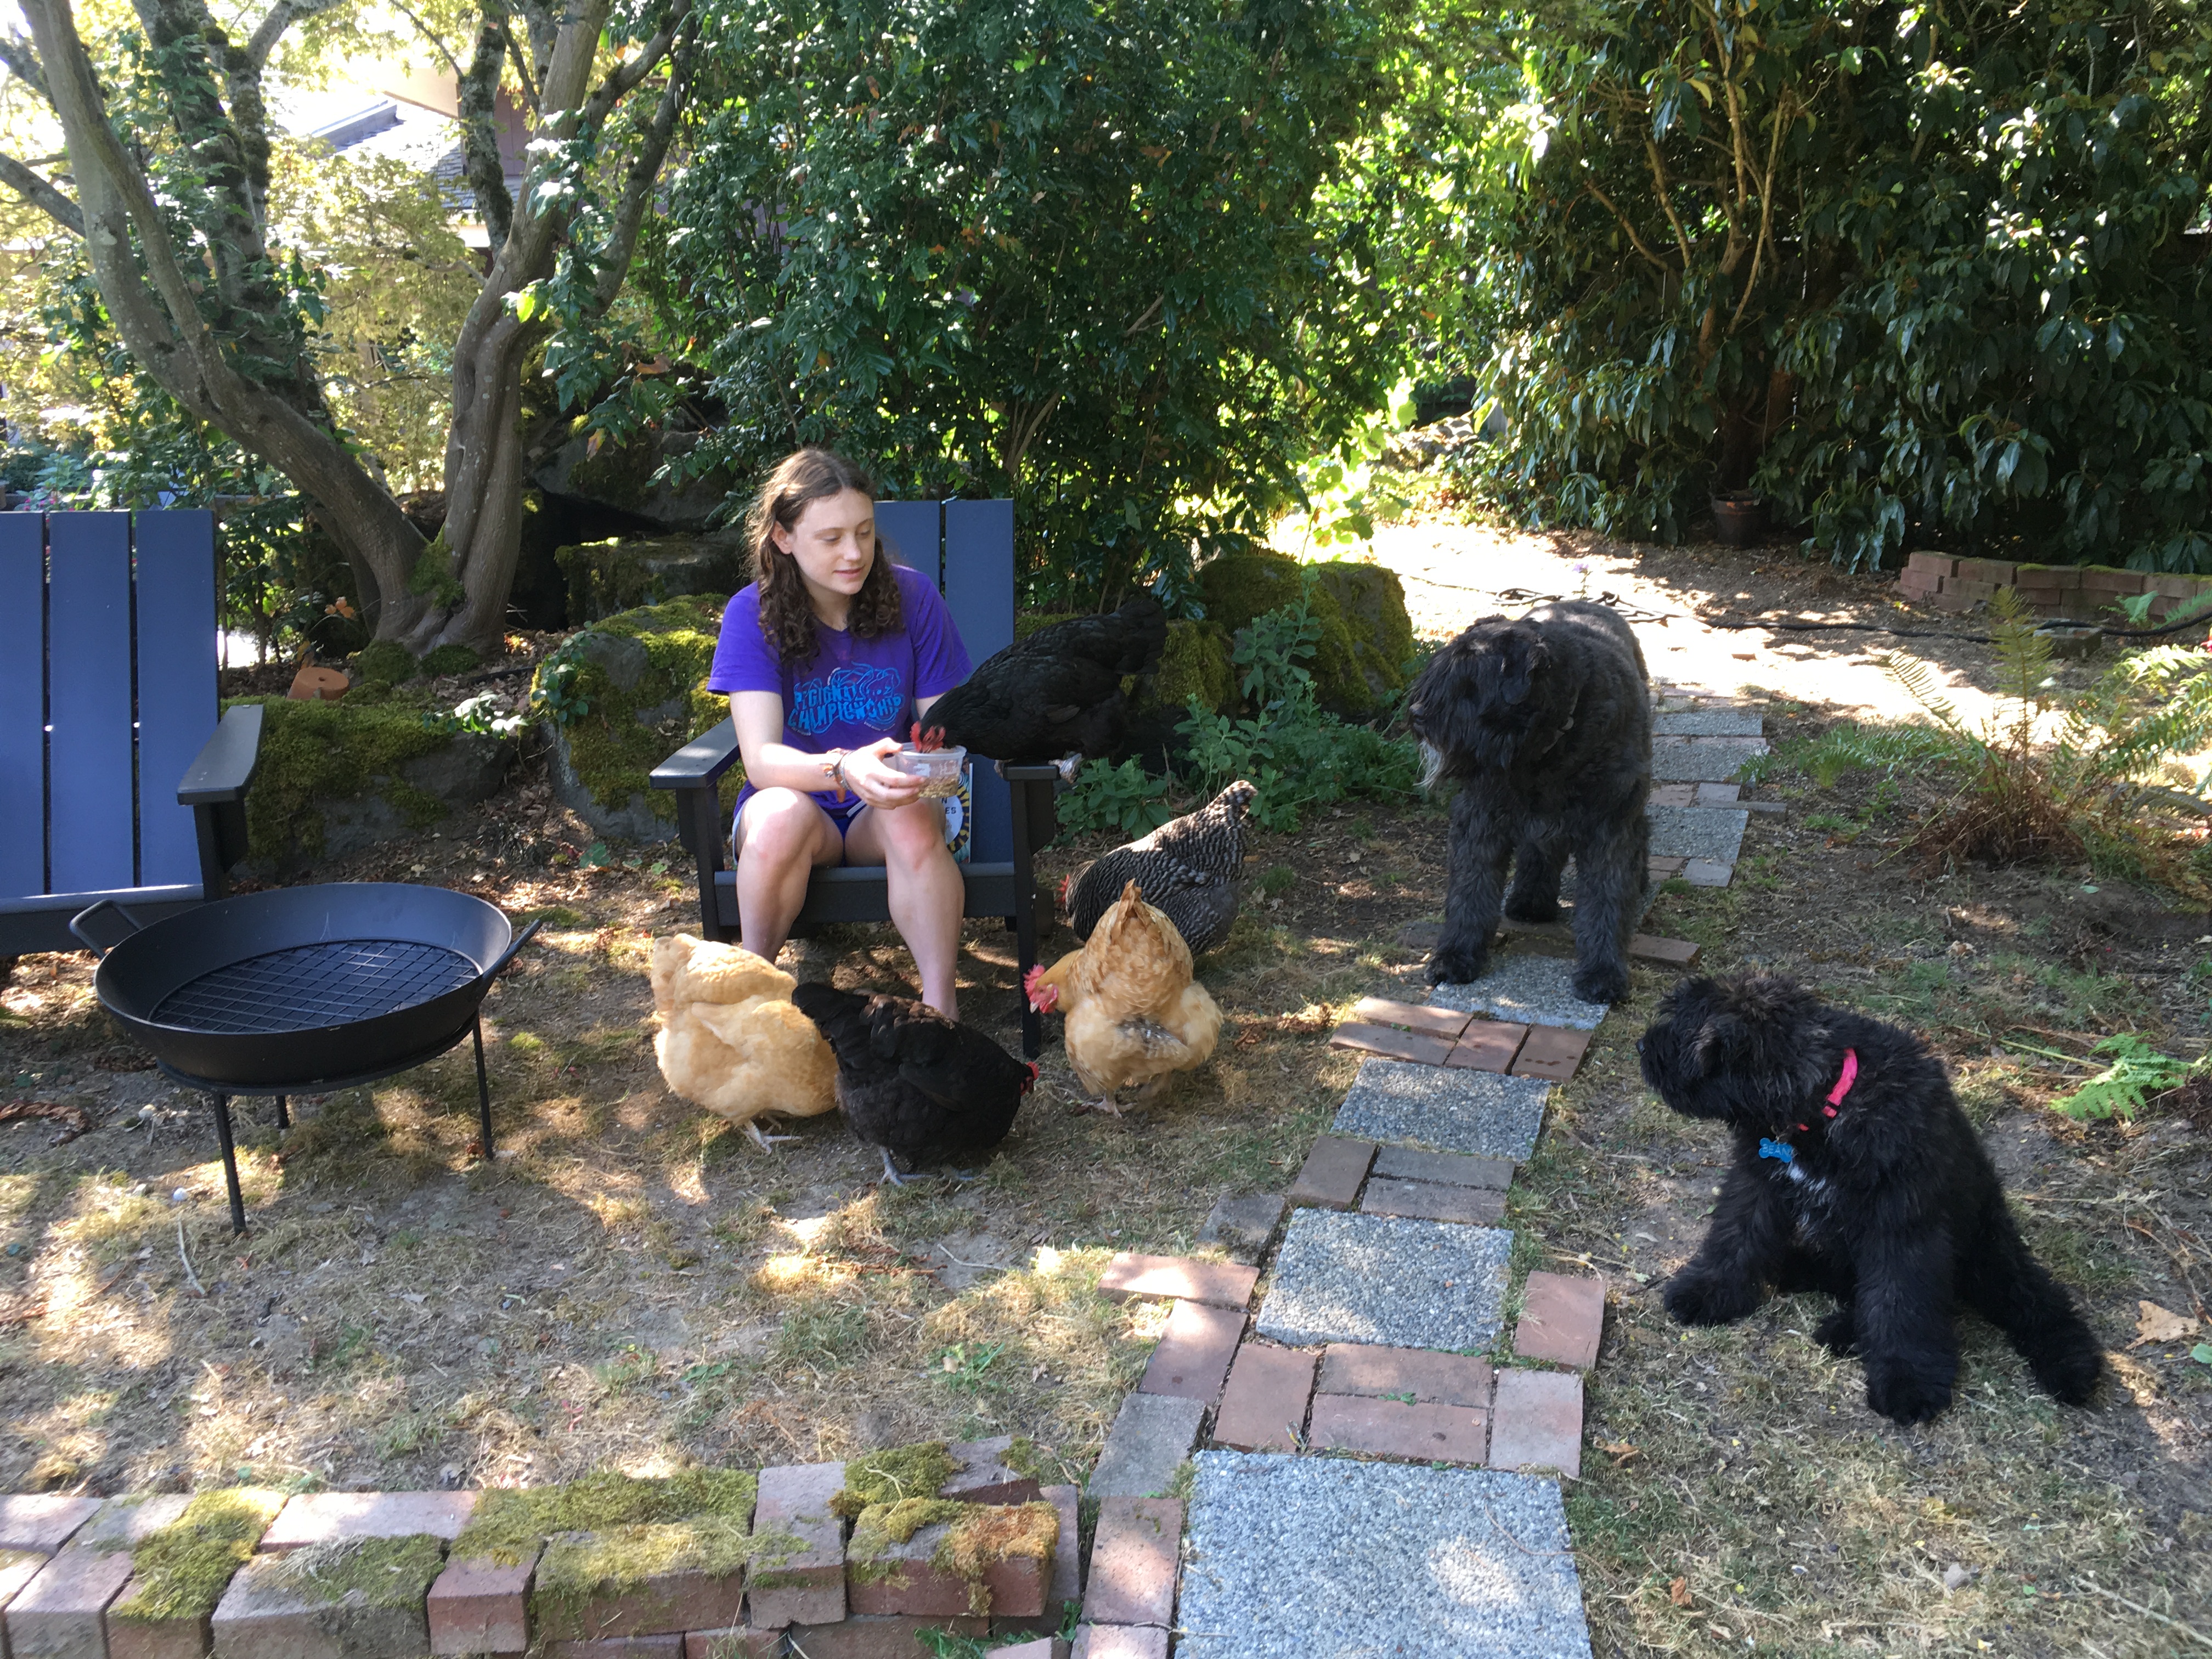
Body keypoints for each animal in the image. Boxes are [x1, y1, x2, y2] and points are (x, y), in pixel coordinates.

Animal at [1405, 599, 1651, 1003]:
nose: (1418, 714)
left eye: (1471, 682)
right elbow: (1470, 891)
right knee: (1540, 853)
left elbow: (1607, 900)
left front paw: (1603, 973)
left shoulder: (1610, 827)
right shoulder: (1480, 820)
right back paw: (1531, 902)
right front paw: (1456, 956)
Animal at [1637, 974, 2104, 1424]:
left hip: (1991, 1253)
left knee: (2033, 1301)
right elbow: (1735, 1237)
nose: (1641, 1046)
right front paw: (1707, 1292)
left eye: (1679, 1029)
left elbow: (1901, 1303)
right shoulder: (1758, 1183)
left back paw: (2071, 1362)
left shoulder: (1903, 1224)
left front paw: (1908, 1381)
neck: (1825, 1103)